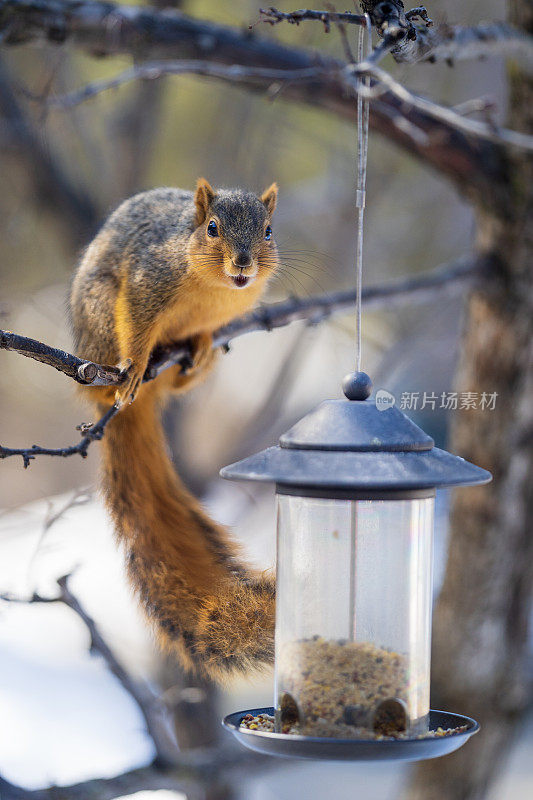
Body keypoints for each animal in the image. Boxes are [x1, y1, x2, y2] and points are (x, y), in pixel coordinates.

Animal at [70, 181, 276, 680]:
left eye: (268, 231)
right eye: (213, 228)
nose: (244, 263)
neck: (212, 290)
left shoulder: (224, 314)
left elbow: (206, 328)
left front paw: (199, 344)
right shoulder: (149, 280)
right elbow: (138, 323)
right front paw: (136, 361)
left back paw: (193, 360)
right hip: (99, 316)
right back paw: (125, 380)